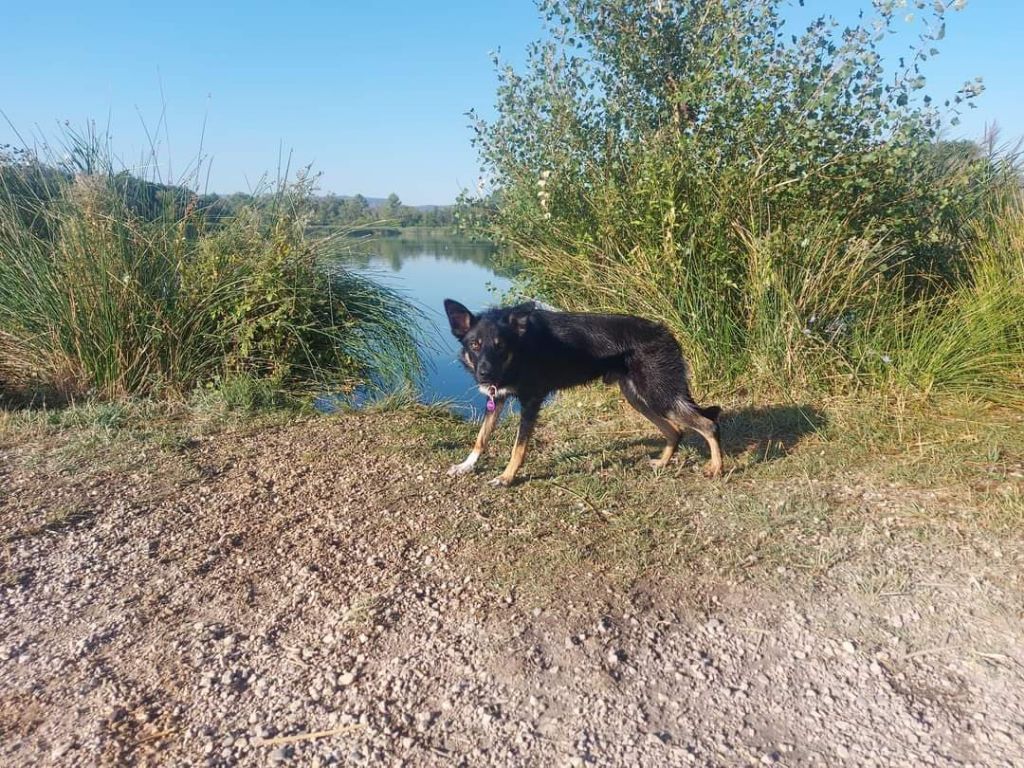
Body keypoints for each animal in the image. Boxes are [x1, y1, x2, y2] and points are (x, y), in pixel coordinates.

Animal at [444, 301, 724, 487]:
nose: (484, 374)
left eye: (500, 346)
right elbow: (481, 437)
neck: (520, 348)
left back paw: (716, 468)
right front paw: (466, 466)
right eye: (474, 345)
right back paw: (663, 463)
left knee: (708, 425)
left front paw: (506, 477)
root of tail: (666, 334)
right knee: (675, 431)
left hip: (658, 394)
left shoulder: (531, 402)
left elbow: (518, 448)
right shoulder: (497, 398)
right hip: (639, 397)